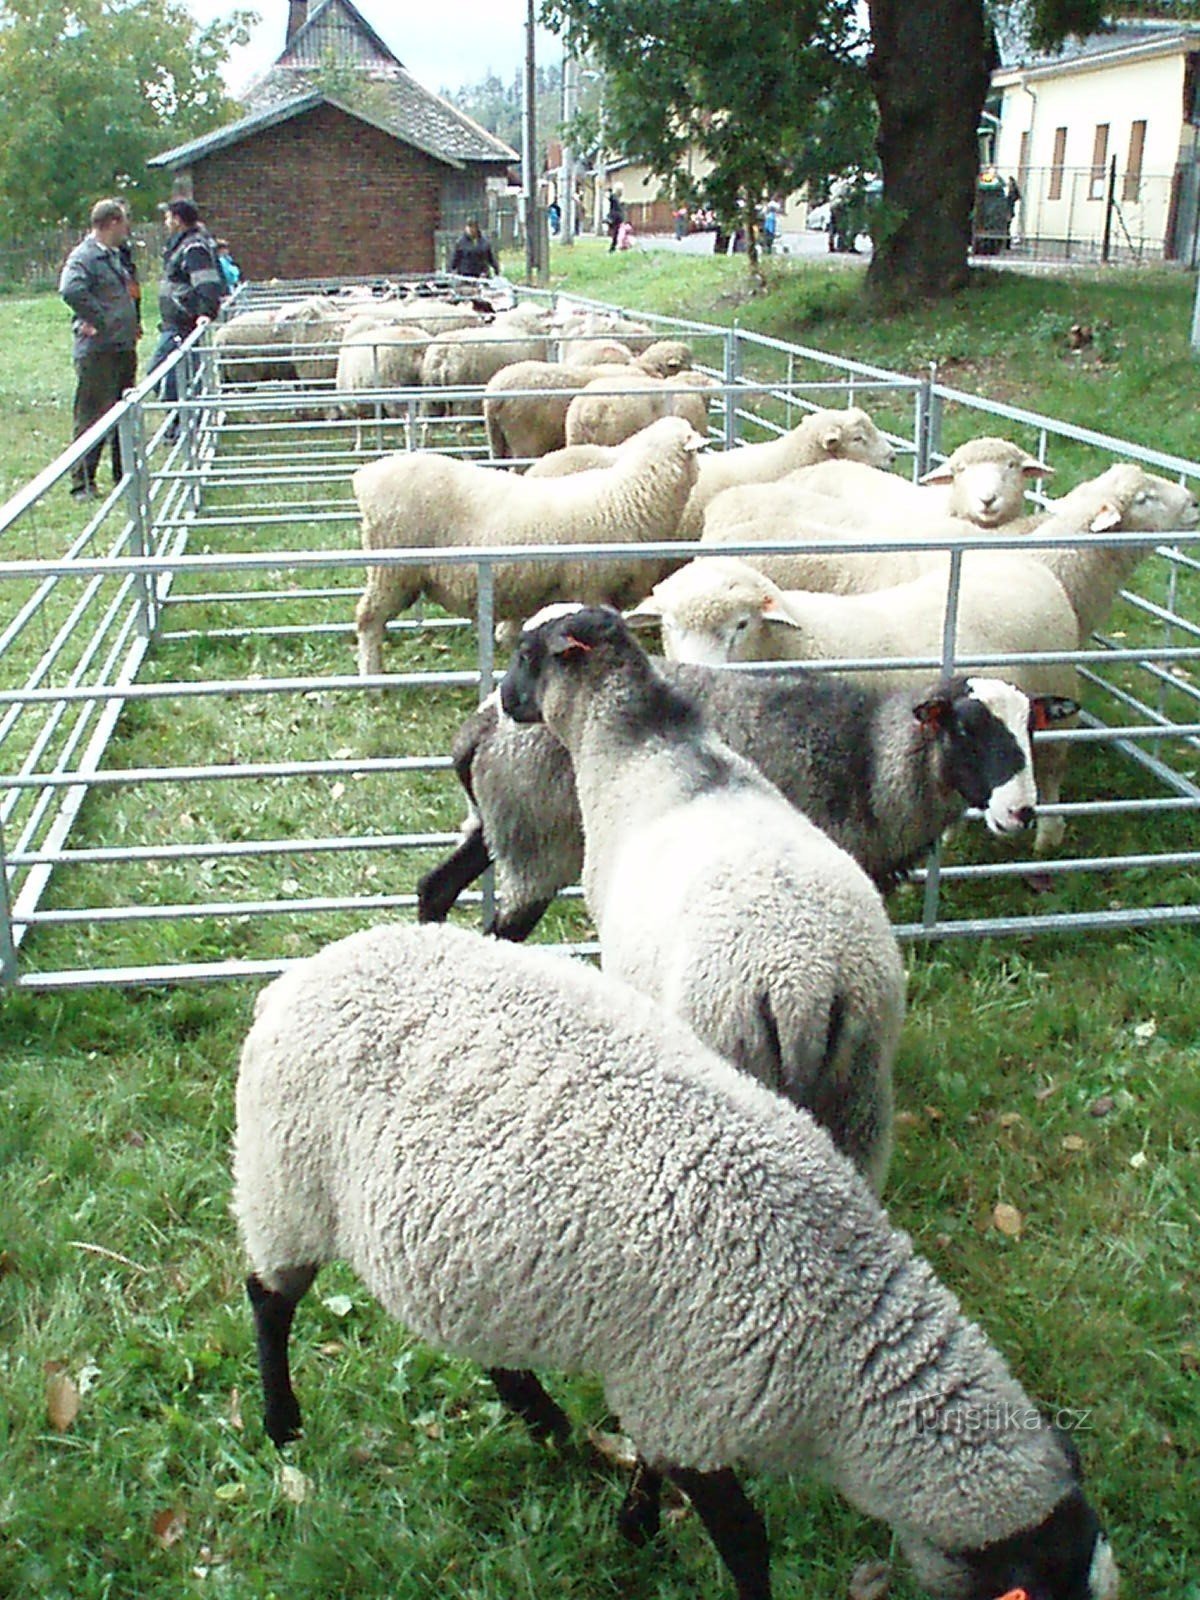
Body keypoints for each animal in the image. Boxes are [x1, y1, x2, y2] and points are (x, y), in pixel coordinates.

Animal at [240, 921, 1126, 1600]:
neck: (841, 1345)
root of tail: (306, 971)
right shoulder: (692, 1398)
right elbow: (743, 1541)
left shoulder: (666, 1391)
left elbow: (652, 1472)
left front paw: (633, 1531)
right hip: (283, 1184)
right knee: (268, 1298)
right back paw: (284, 1425)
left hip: (467, 1258)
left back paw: (544, 1422)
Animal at [352, 416, 710, 672]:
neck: (627, 495)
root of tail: (366, 477)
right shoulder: (592, 585)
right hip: (392, 568)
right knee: (368, 619)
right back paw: (373, 675)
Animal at [419, 649, 1068, 940]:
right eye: (965, 730)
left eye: (1031, 730)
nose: (1021, 811)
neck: (869, 757)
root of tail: (487, 724)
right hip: (540, 843)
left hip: (499, 823)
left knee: (436, 886)